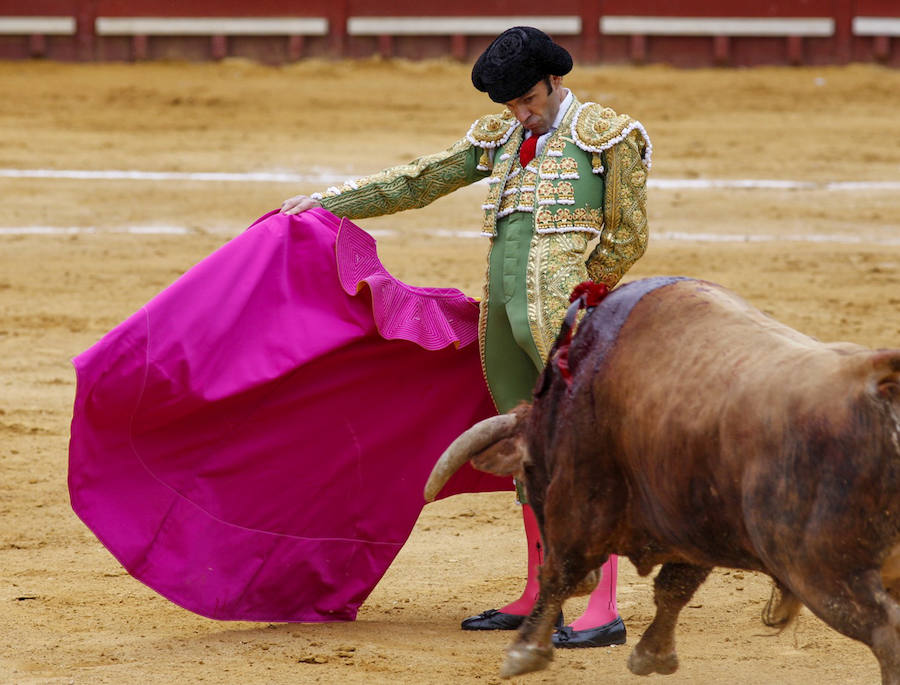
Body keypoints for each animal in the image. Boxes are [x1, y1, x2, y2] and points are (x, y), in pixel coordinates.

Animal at [424, 278, 900, 684]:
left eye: (529, 469)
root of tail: (876, 379)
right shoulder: (692, 517)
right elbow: (674, 586)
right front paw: (652, 656)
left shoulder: (580, 501)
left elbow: (560, 571)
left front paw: (523, 653)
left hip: (819, 566)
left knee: (886, 632)